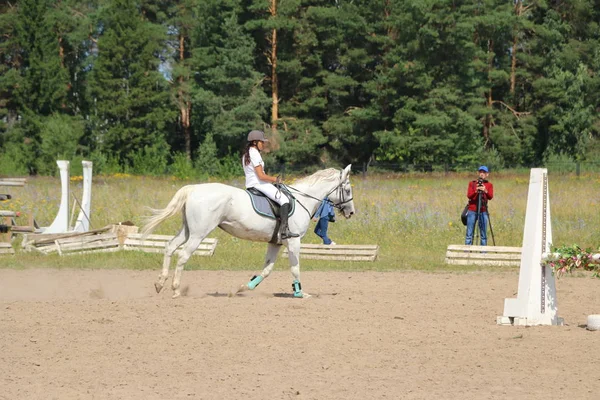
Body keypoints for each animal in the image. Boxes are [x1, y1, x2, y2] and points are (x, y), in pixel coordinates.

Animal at [142, 164, 354, 298]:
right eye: (348, 190)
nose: (351, 212)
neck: (303, 199)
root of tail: (193, 189)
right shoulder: (294, 241)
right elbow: (295, 268)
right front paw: (300, 293)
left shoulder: (276, 243)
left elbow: (267, 269)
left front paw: (242, 288)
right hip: (198, 233)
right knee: (183, 255)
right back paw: (176, 290)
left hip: (188, 230)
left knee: (170, 247)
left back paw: (160, 284)